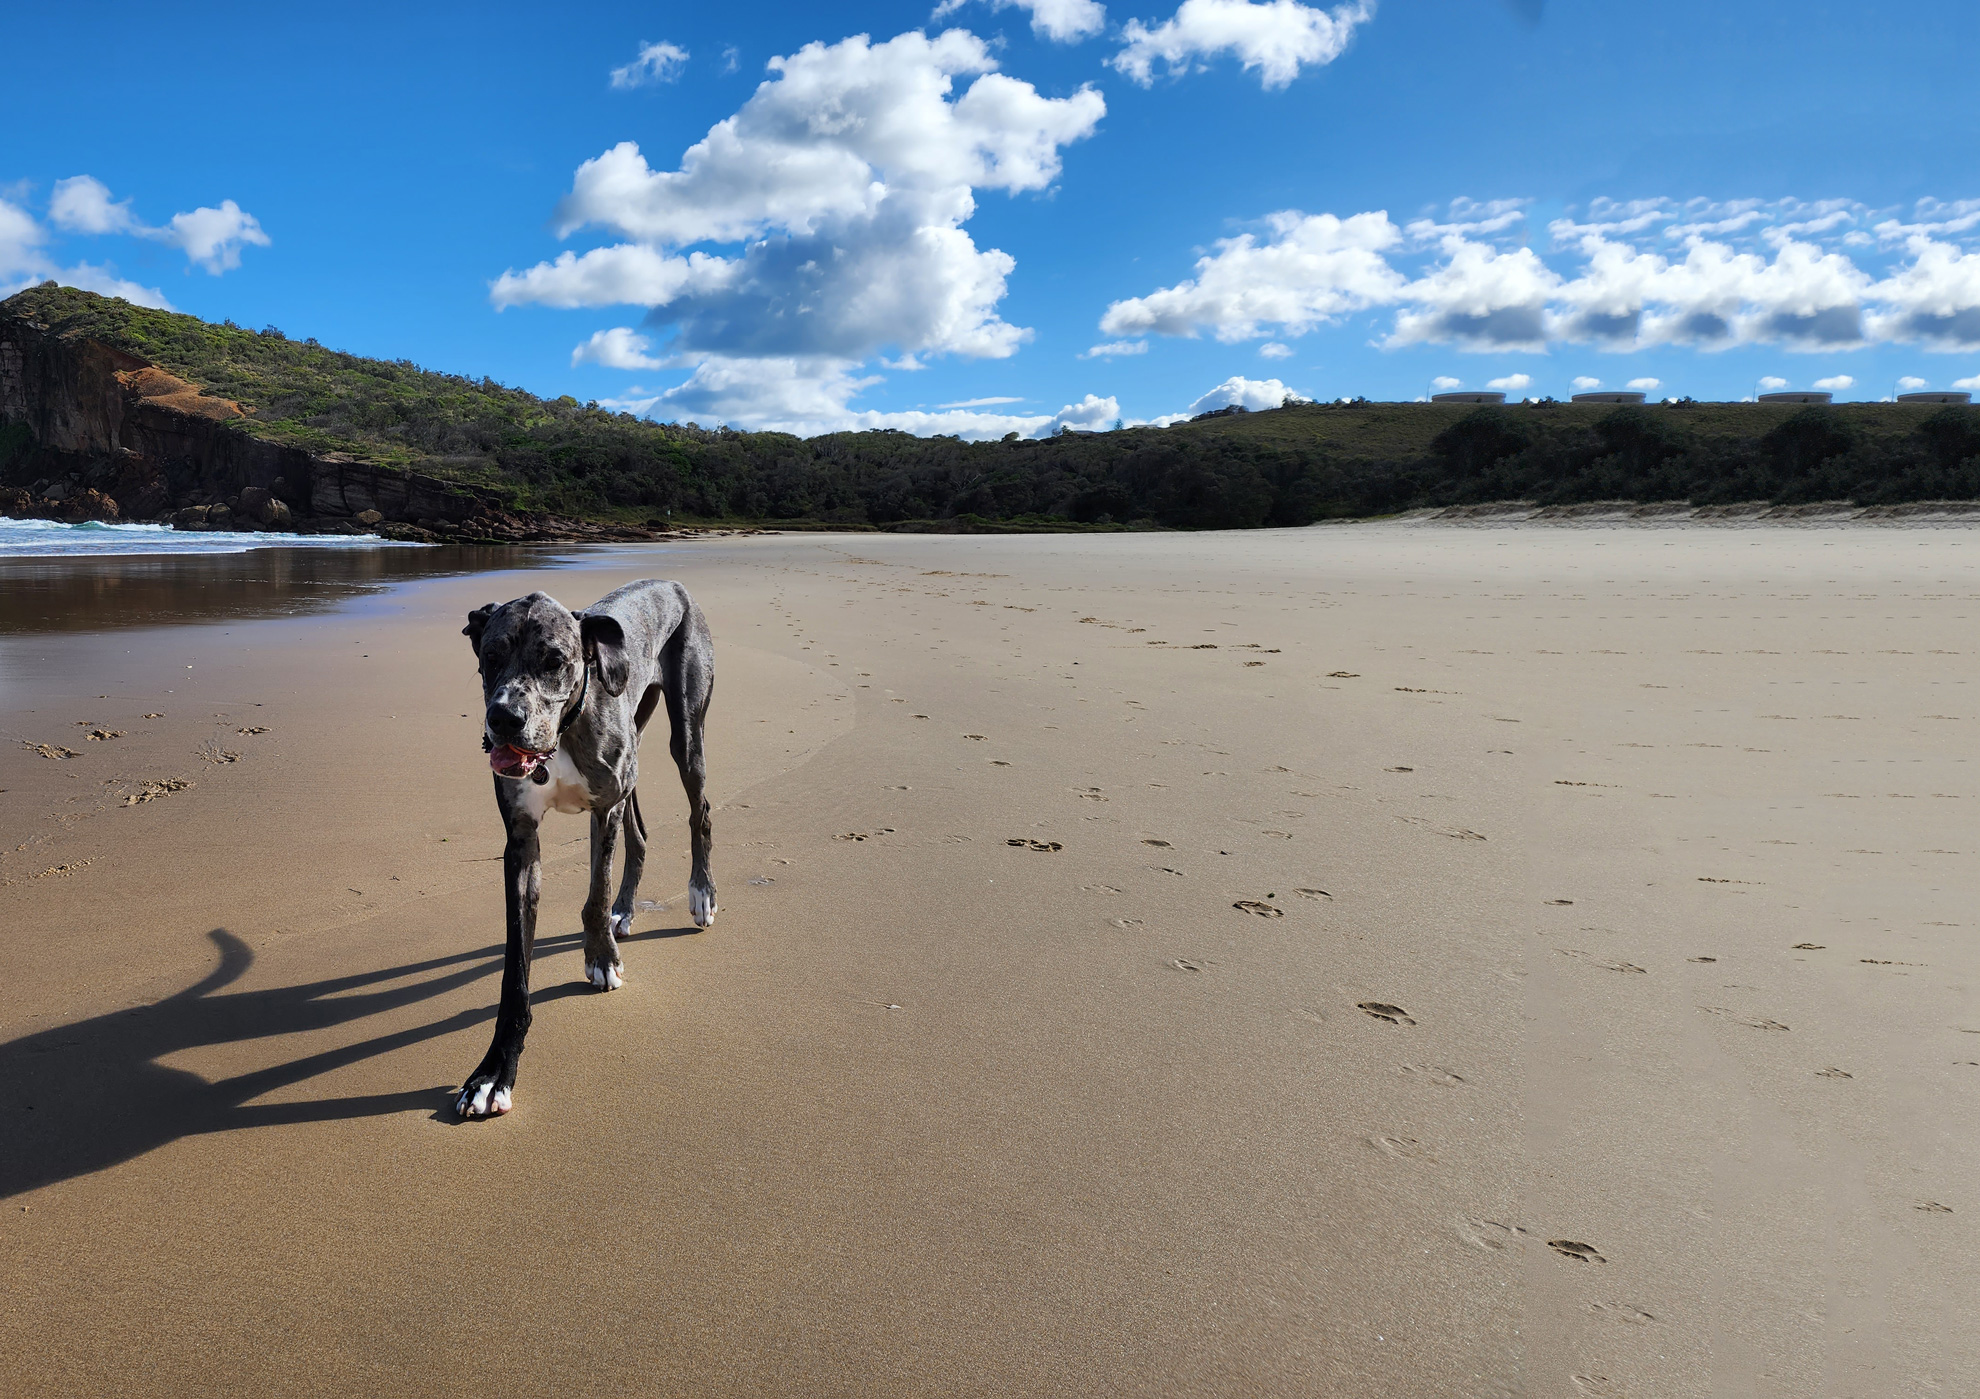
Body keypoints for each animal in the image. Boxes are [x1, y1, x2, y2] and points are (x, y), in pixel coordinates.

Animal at [453, 573, 716, 1123]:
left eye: (555, 660)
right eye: (490, 656)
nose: (504, 718)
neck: (562, 734)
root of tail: (671, 582)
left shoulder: (604, 808)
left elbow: (595, 892)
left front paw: (601, 957)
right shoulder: (521, 842)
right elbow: (515, 972)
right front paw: (493, 1072)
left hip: (686, 737)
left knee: (698, 810)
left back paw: (701, 892)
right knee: (639, 835)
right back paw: (626, 909)